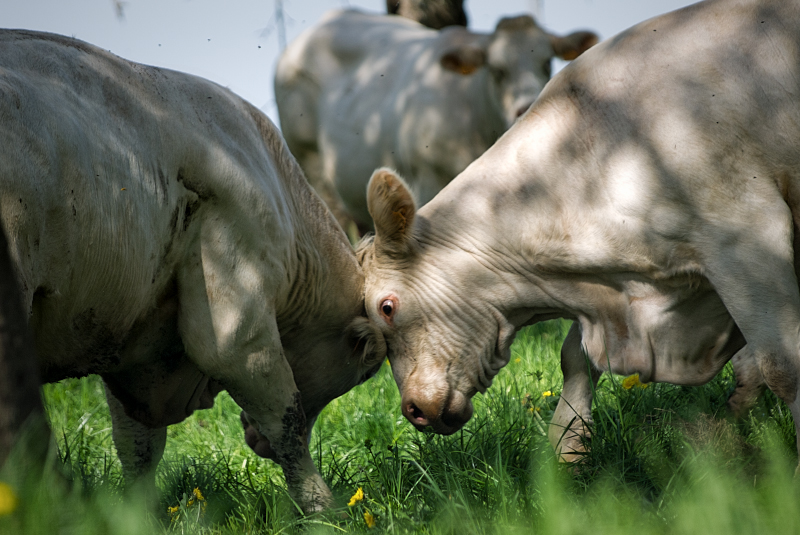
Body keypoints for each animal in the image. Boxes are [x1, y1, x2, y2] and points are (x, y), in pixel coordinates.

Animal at [0, 29, 384, 516]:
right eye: (368, 368)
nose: (253, 442)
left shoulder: (132, 343)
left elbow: (138, 446)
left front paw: (138, 514)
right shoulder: (237, 327)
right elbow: (288, 422)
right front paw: (323, 510)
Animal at [360, 0, 800, 464]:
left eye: (386, 307)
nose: (413, 410)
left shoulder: (746, 234)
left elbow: (784, 367)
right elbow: (575, 357)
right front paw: (566, 451)